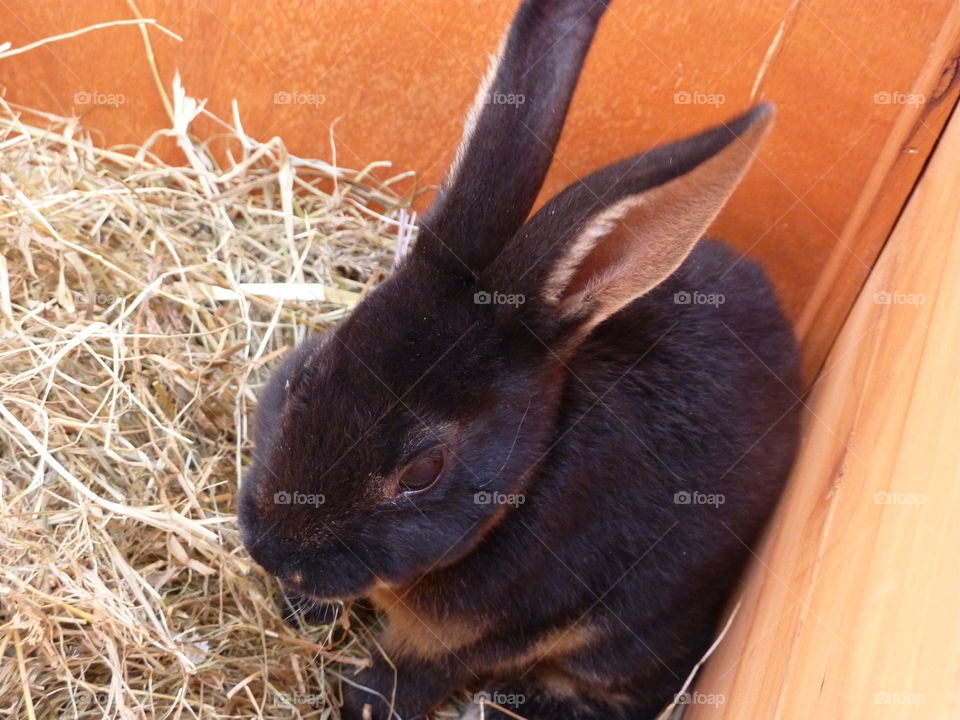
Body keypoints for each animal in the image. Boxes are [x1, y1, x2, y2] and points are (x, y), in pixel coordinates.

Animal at [240, 1, 804, 720]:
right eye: (310, 374)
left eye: (424, 471)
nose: (271, 551)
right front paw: (301, 610)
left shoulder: (488, 634)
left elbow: (417, 672)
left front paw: (365, 702)